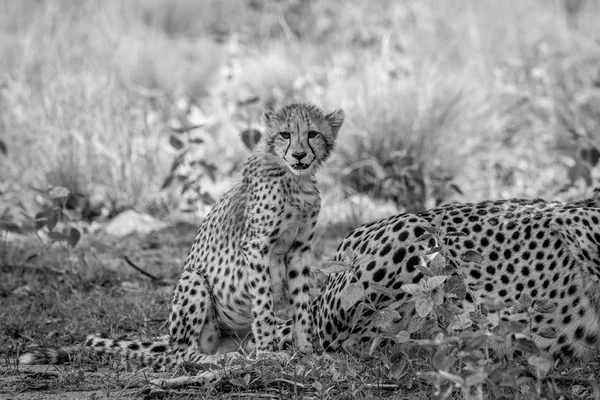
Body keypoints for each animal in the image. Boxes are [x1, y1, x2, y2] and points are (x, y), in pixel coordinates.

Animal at [19, 102, 342, 366]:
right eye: (285, 134)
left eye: (312, 134)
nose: (299, 155)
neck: (296, 180)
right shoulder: (257, 245)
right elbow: (263, 304)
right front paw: (269, 352)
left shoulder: (299, 249)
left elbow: (302, 302)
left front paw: (305, 350)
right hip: (193, 280)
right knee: (180, 355)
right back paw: (219, 360)